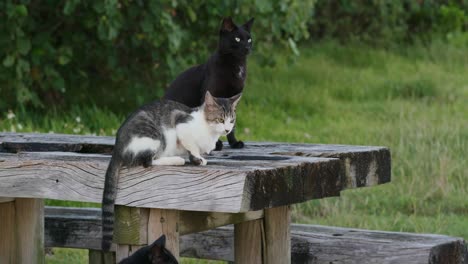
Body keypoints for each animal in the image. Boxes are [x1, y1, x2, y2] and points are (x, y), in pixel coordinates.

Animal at [101, 91, 241, 252]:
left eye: (232, 120)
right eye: (220, 119)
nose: (227, 130)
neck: (207, 128)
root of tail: (117, 149)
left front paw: (197, 159)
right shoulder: (181, 123)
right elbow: (191, 144)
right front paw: (197, 157)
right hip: (155, 137)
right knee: (148, 162)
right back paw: (175, 160)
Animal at [163, 16, 254, 151]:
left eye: (249, 39)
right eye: (237, 39)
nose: (248, 47)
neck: (236, 64)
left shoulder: (234, 100)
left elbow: (231, 123)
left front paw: (234, 143)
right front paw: (216, 144)